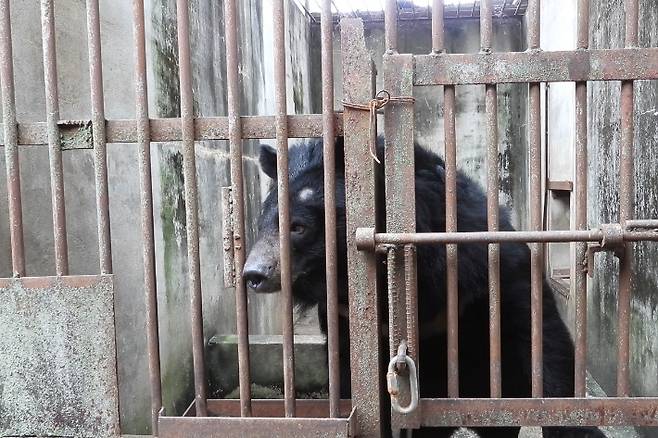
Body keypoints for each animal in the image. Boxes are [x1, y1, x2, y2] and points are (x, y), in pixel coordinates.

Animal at [245, 138, 604, 438]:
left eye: (299, 227)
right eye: (262, 224)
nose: (253, 274)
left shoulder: (489, 270)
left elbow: (543, 344)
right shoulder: (345, 317)